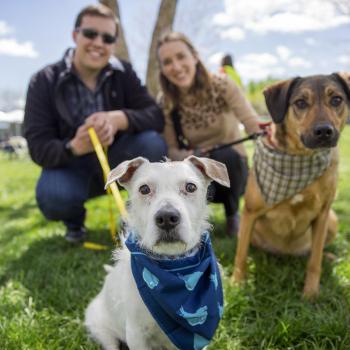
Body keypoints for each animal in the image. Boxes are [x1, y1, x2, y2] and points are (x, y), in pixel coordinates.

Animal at [85, 157, 230, 350]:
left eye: (191, 187)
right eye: (144, 189)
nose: (167, 218)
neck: (173, 266)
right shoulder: (136, 333)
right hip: (102, 329)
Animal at [232, 73, 350, 298]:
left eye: (336, 100)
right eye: (301, 103)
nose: (324, 131)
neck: (300, 156)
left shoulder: (323, 214)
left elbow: (314, 262)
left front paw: (310, 294)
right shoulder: (250, 211)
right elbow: (240, 255)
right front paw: (237, 284)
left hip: (332, 219)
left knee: (314, 252)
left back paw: (329, 256)